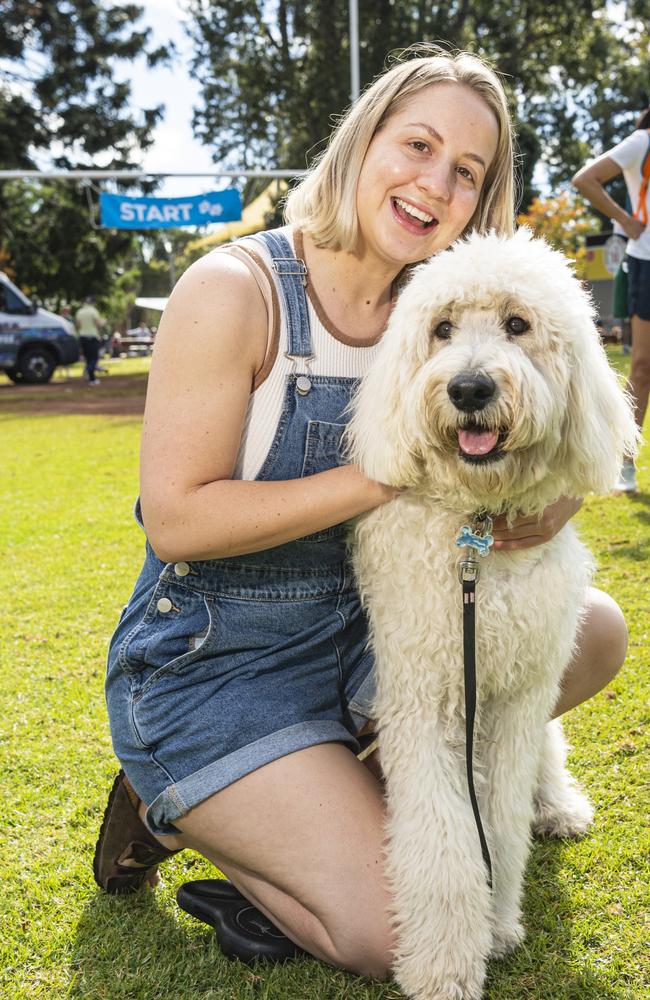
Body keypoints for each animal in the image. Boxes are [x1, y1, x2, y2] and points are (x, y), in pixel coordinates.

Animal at [346, 230, 636, 1000]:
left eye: (517, 323)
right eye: (442, 329)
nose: (469, 388)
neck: (476, 527)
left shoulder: (516, 699)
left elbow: (499, 824)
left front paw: (499, 923)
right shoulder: (421, 698)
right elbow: (444, 841)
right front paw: (444, 965)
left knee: (549, 756)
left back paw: (558, 805)